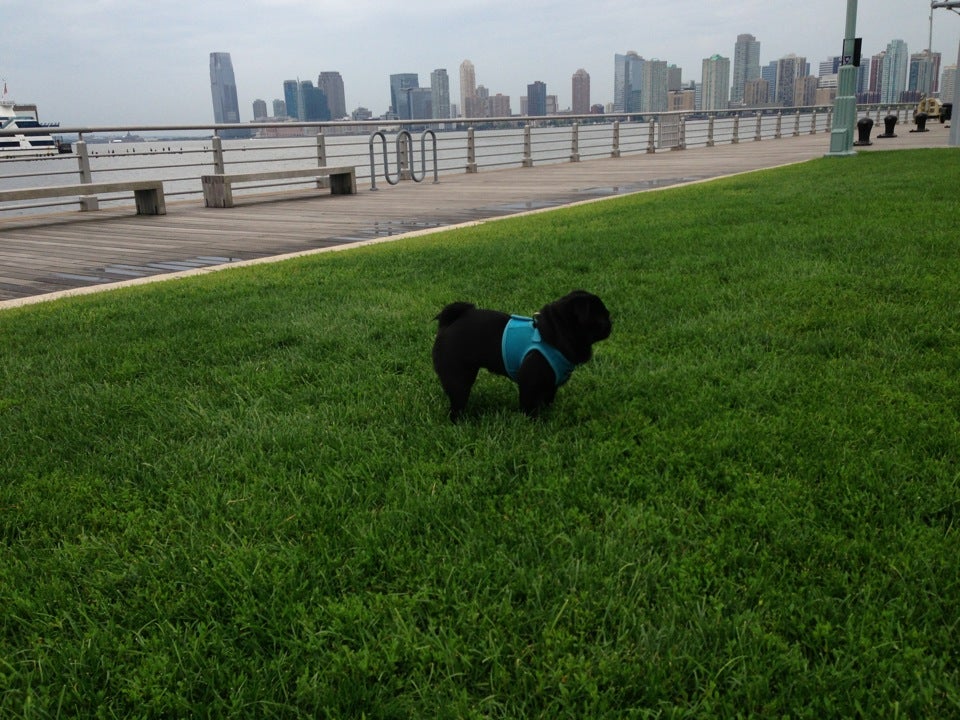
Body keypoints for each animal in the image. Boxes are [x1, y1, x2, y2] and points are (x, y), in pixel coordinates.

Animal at [432, 288, 612, 420]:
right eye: (600, 318)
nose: (610, 321)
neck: (554, 333)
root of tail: (449, 324)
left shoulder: (550, 384)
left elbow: (548, 399)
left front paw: (548, 414)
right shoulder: (529, 383)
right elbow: (529, 405)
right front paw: (533, 421)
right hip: (458, 377)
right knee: (458, 399)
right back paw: (459, 420)